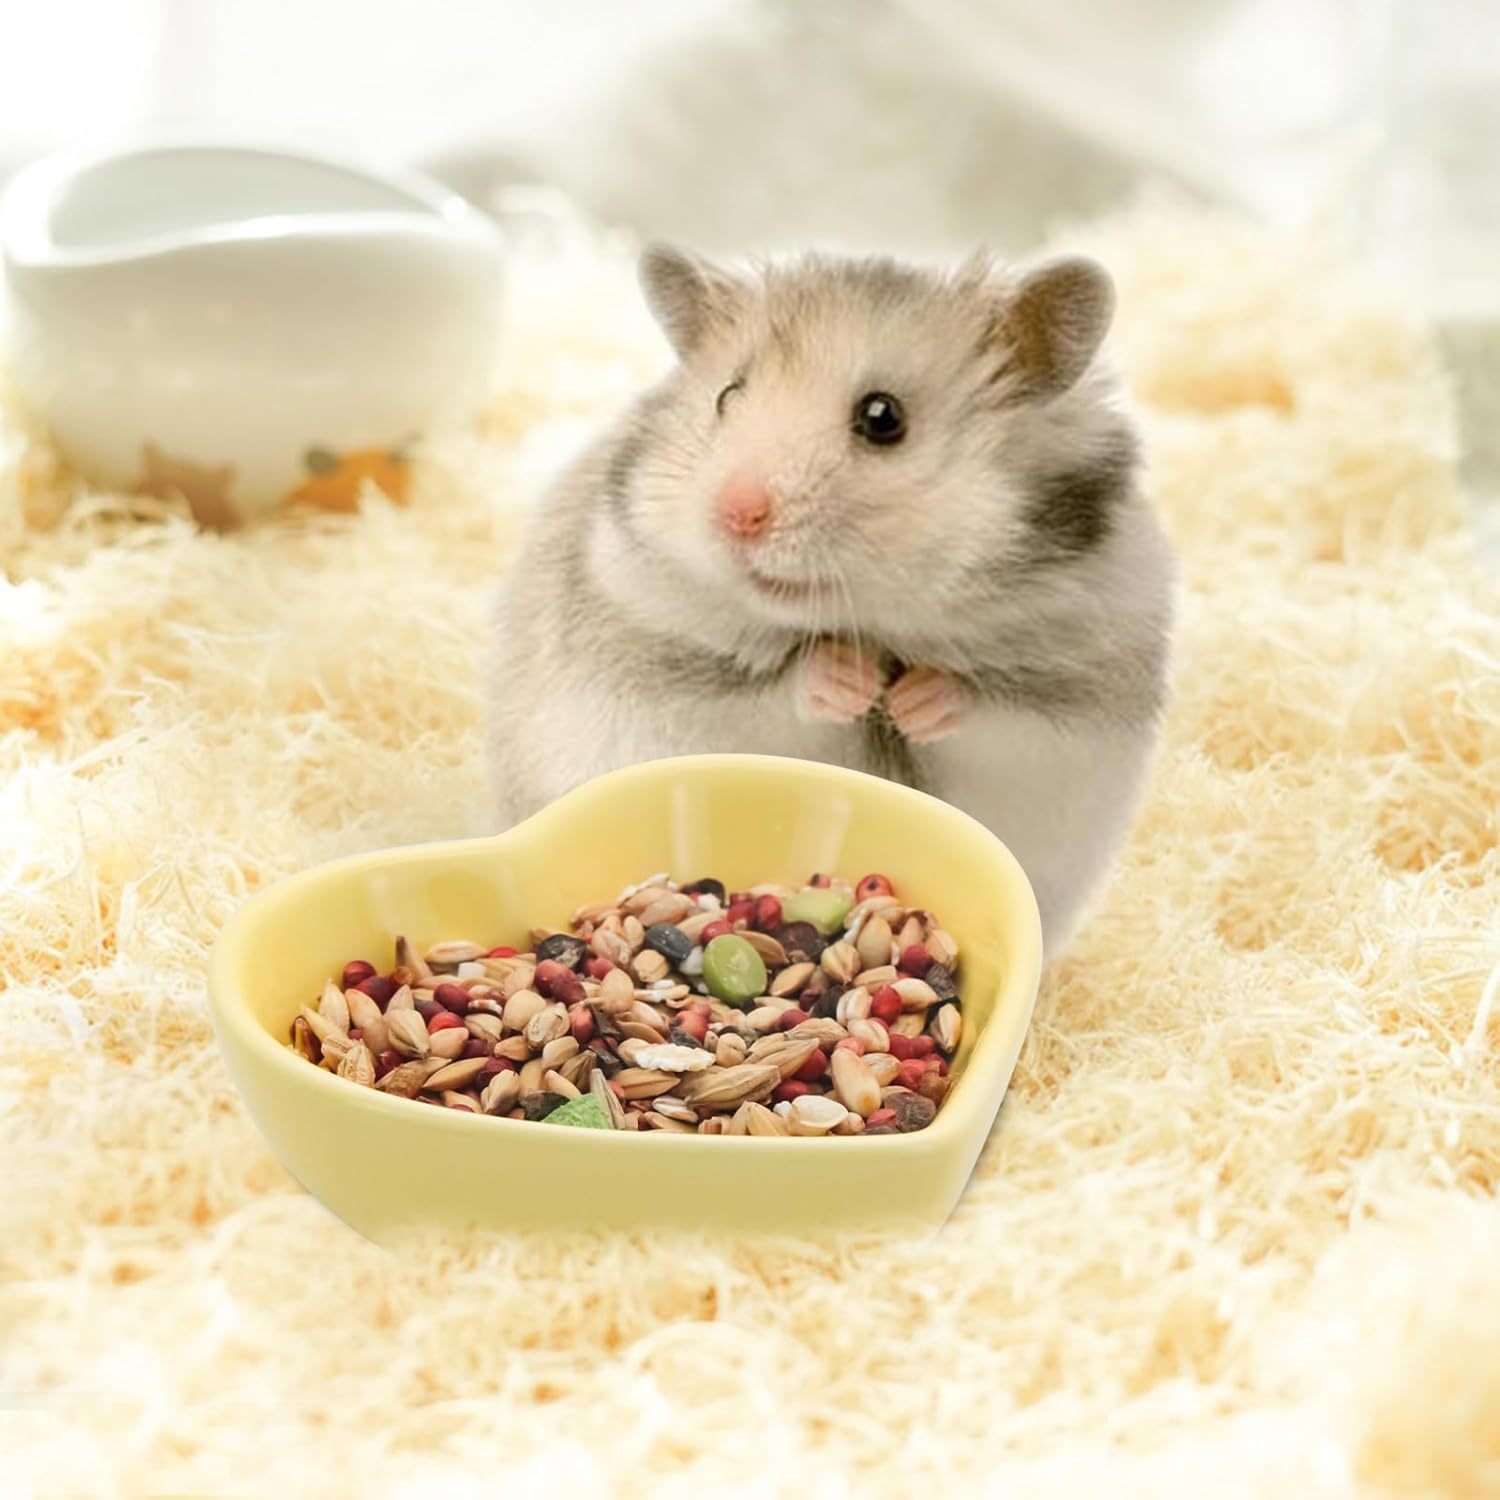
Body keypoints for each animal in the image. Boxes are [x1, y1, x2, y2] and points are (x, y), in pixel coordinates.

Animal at [488, 244, 1176, 955]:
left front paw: (910, 700)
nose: (736, 515)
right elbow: (779, 695)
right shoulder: (673, 687)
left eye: (882, 417)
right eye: (727, 396)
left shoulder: (1069, 709)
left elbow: (985, 708)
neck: (869, 623)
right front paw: (852, 681)